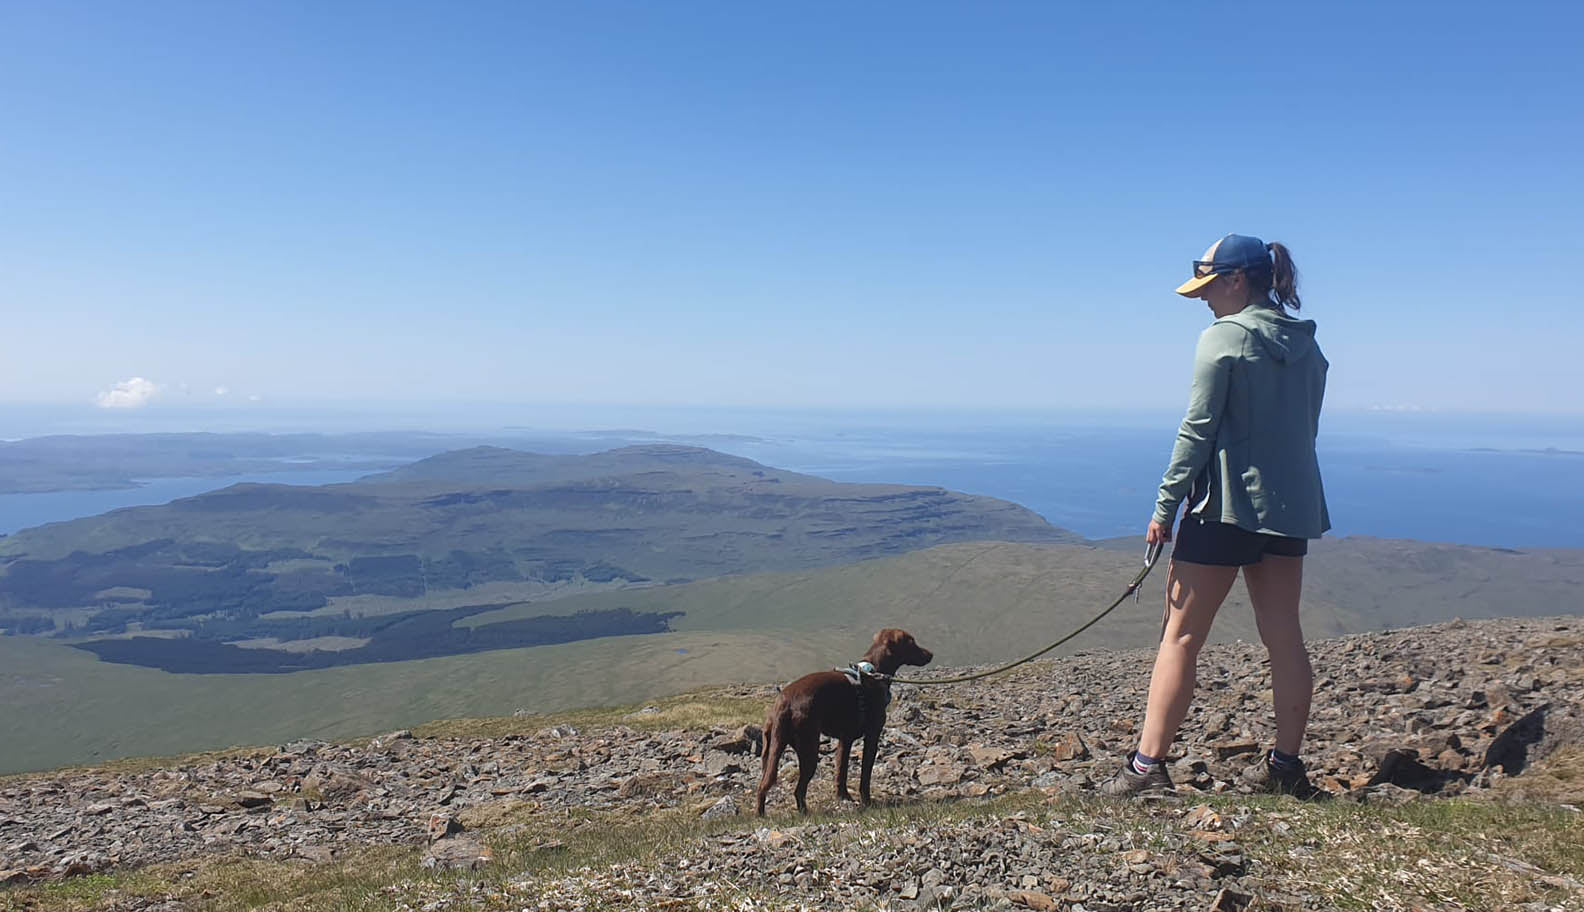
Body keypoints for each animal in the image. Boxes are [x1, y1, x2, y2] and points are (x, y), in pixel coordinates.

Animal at [750, 630, 925, 817]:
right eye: (912, 642)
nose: (930, 654)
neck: (874, 673)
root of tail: (784, 702)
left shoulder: (845, 739)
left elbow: (841, 772)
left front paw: (843, 796)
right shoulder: (872, 737)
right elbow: (865, 777)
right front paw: (867, 803)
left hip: (770, 751)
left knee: (763, 785)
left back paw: (761, 814)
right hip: (809, 751)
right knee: (798, 790)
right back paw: (805, 812)